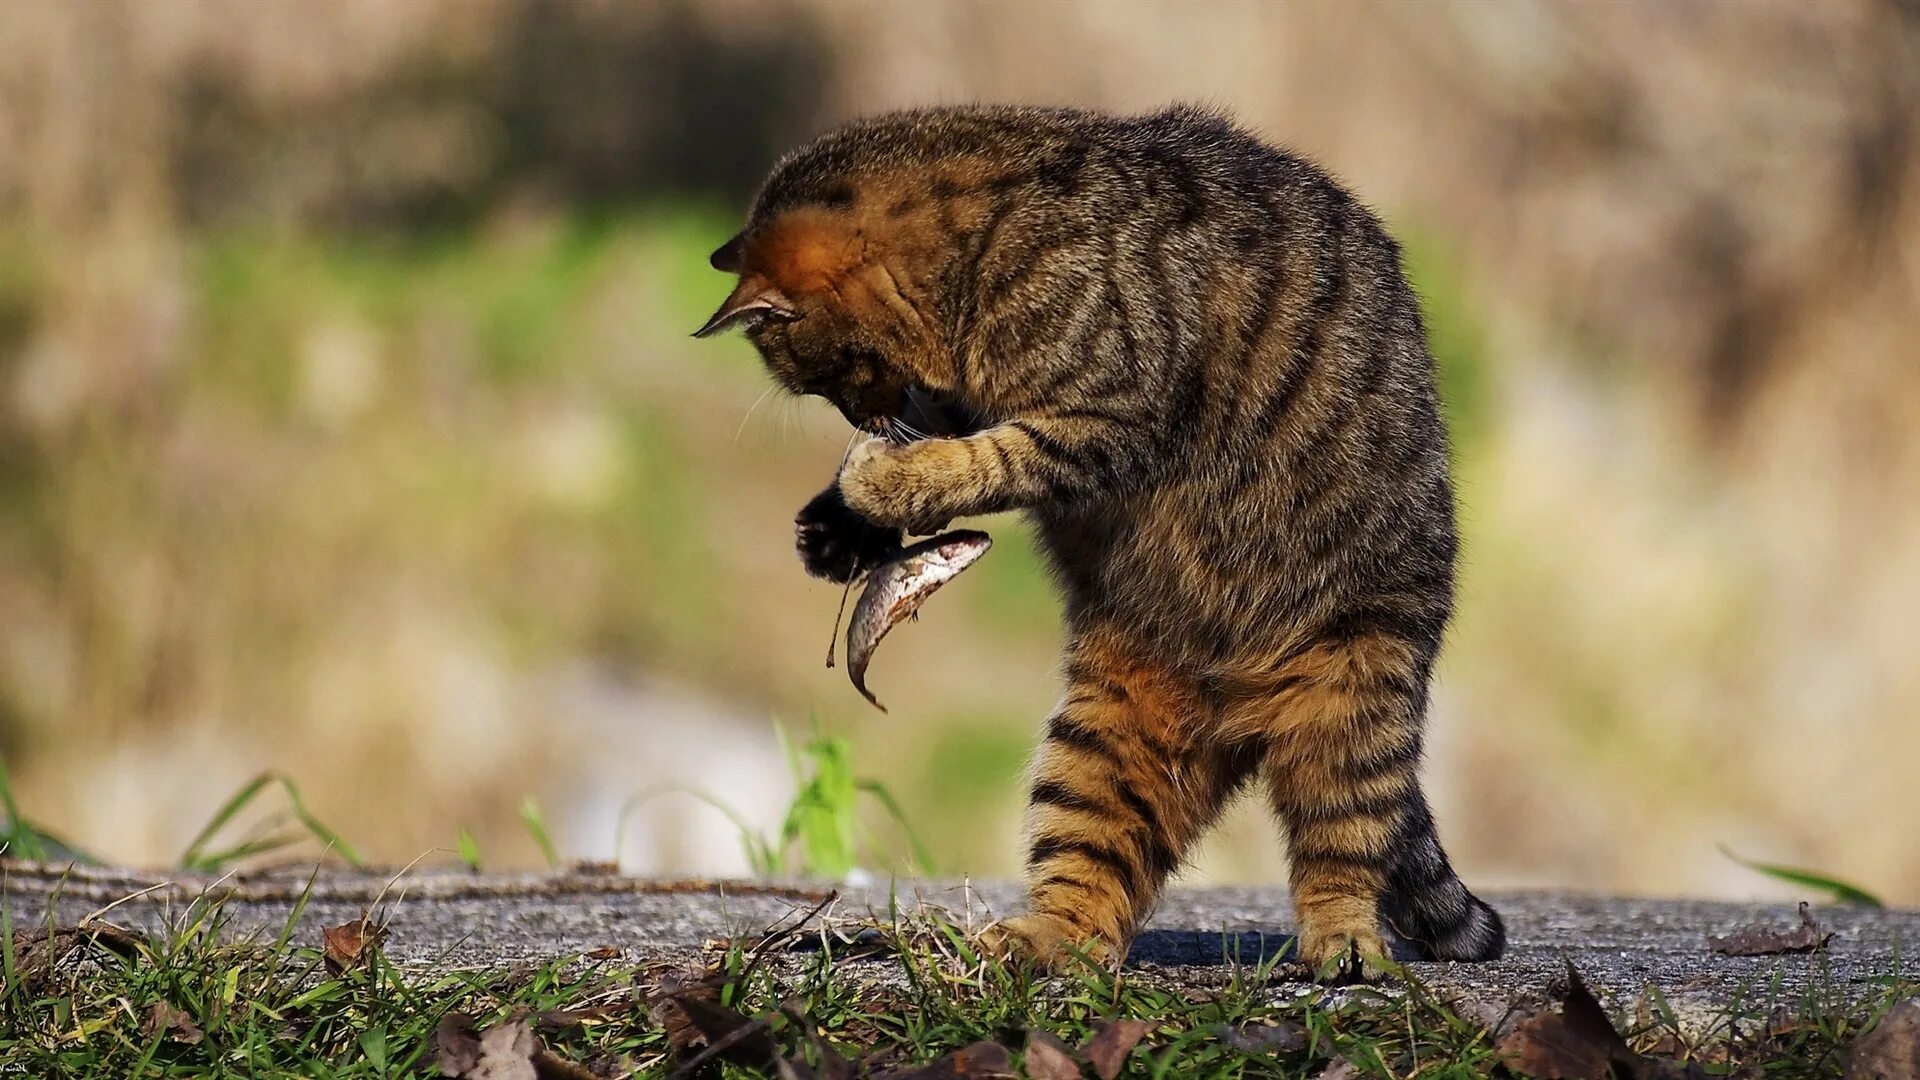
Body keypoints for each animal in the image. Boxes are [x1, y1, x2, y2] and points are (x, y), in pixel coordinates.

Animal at [698, 102, 1505, 976]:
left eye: (826, 376)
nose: (859, 416)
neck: (979, 247)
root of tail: (1241, 709)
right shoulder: (980, 402)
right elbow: (955, 442)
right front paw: (839, 524)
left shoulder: (1101, 419)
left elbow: (978, 460)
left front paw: (878, 482)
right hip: (1106, 732)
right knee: (1091, 866)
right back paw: (1044, 937)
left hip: (1354, 692)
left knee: (1343, 849)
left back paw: (1346, 945)